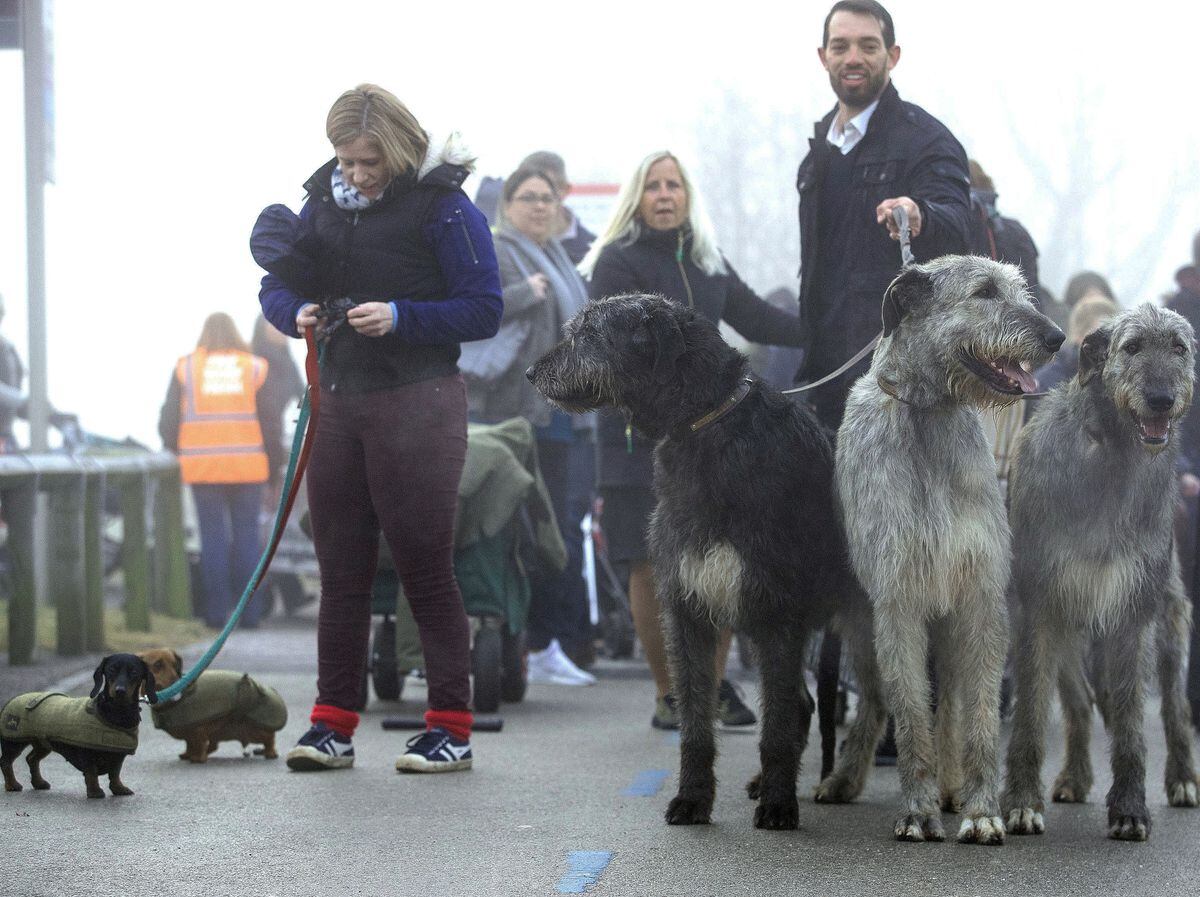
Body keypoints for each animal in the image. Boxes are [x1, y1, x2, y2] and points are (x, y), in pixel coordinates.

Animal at [530, 292, 878, 825]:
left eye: (587, 333)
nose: (531, 371)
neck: (709, 423)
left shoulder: (777, 614)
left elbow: (776, 726)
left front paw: (780, 806)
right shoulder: (688, 608)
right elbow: (696, 716)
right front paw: (693, 797)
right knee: (803, 703)